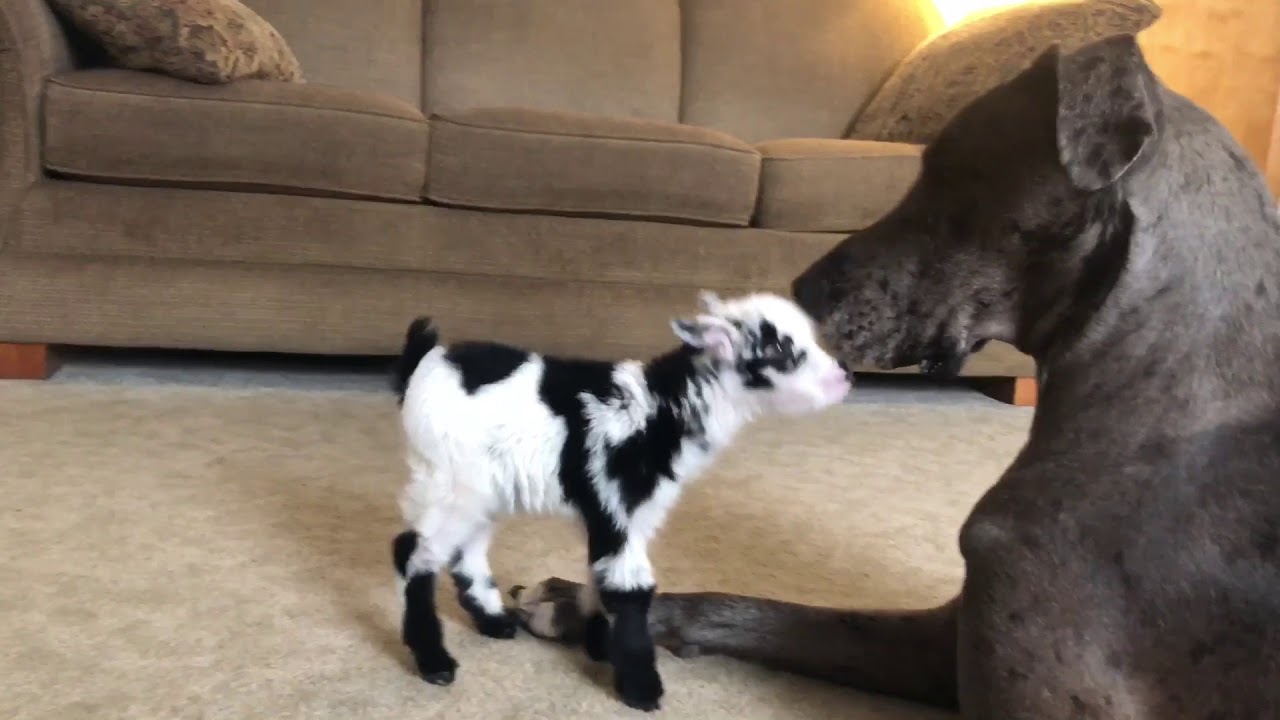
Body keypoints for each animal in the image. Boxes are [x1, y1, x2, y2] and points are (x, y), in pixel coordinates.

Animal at [389, 291, 852, 711]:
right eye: (781, 351)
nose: (845, 375)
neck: (665, 408)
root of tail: (425, 361)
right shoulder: (616, 507)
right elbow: (629, 588)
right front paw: (641, 689)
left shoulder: (637, 516)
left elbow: (600, 577)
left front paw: (599, 648)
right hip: (451, 476)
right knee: (414, 553)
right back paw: (435, 662)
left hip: (482, 486)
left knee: (463, 548)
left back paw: (494, 621)